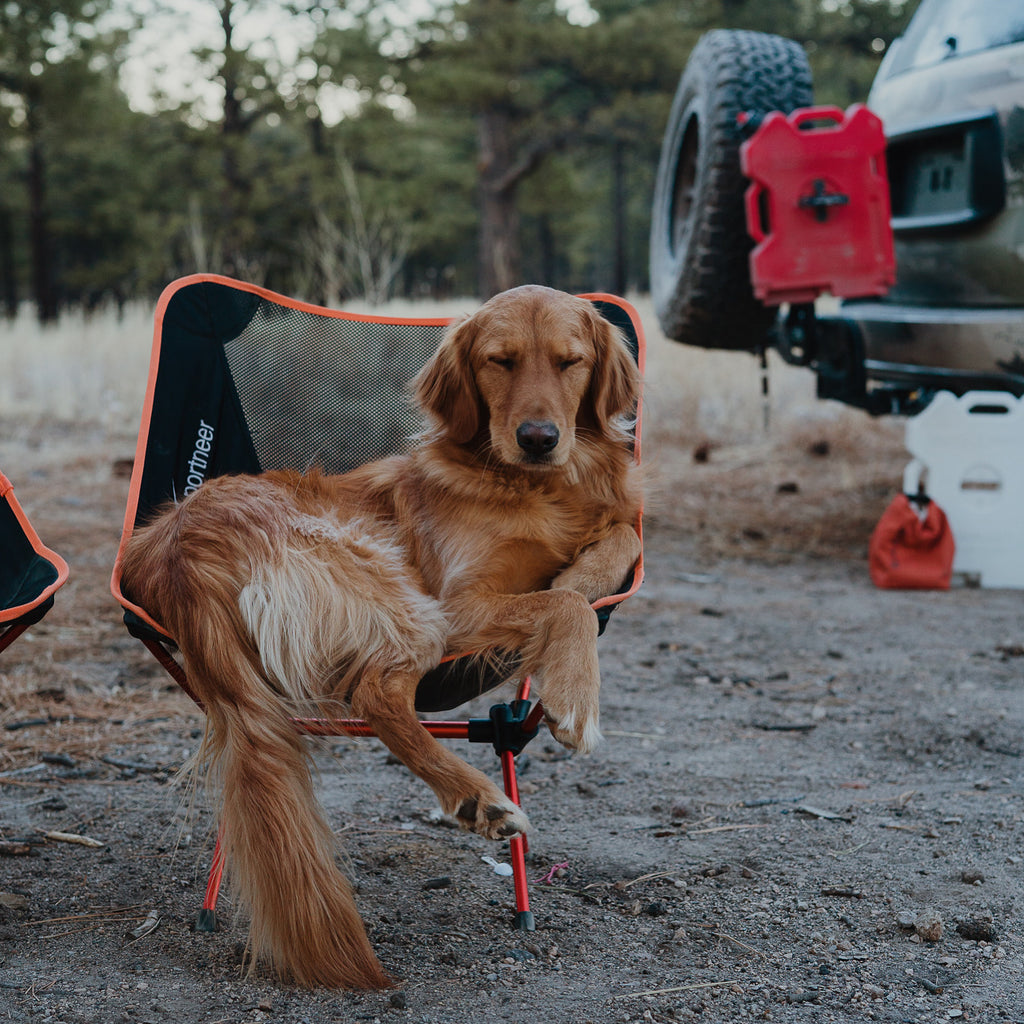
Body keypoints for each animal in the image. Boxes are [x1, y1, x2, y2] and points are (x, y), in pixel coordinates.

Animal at [119, 284, 638, 987]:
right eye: (500, 361)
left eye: (570, 361)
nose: (537, 439)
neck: (538, 485)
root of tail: (179, 548)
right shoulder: (459, 600)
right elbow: (565, 605)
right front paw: (578, 696)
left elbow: (618, 538)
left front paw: (586, 570)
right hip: (398, 592)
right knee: (376, 692)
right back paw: (477, 799)